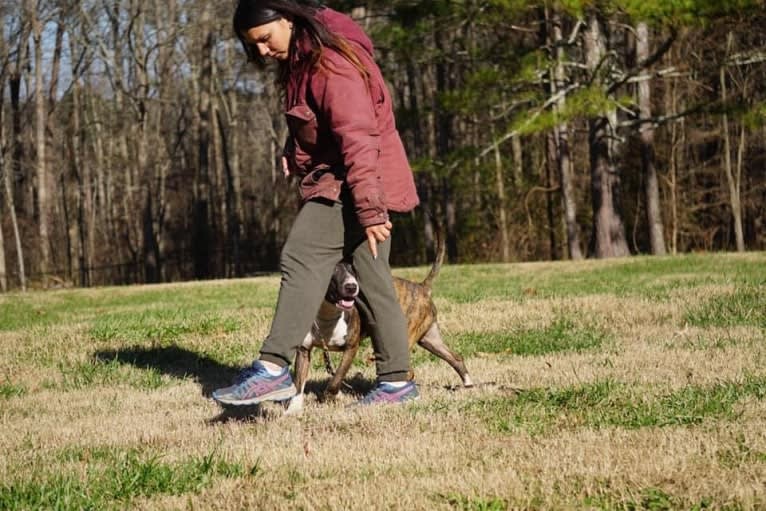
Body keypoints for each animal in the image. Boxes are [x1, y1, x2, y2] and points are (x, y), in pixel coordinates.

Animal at [284, 237, 472, 416]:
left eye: (354, 271)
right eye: (333, 271)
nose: (352, 287)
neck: (328, 314)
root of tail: (421, 287)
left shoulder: (351, 348)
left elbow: (336, 377)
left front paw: (332, 396)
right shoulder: (304, 351)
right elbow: (299, 383)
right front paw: (293, 409)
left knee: (408, 371)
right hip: (429, 339)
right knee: (455, 358)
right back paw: (468, 384)